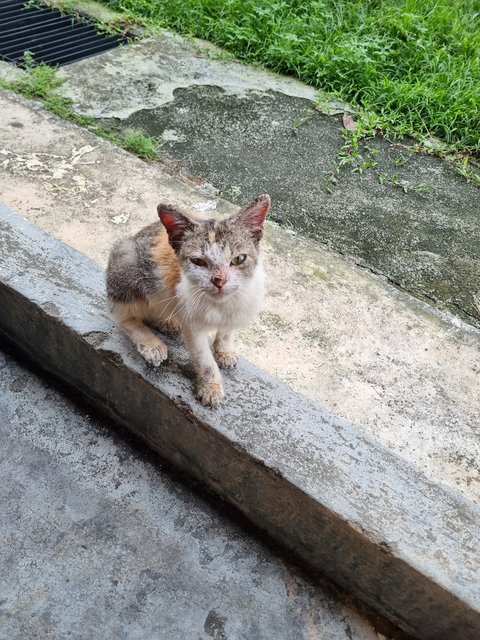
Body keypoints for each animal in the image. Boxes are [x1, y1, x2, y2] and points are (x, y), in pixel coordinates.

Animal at [106, 192, 270, 408]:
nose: (219, 281)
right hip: (126, 260)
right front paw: (211, 387)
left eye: (239, 259)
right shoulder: (191, 323)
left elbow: (227, 330)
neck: (220, 305)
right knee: (122, 316)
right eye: (198, 261)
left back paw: (166, 322)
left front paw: (224, 351)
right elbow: (203, 358)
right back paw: (151, 344)